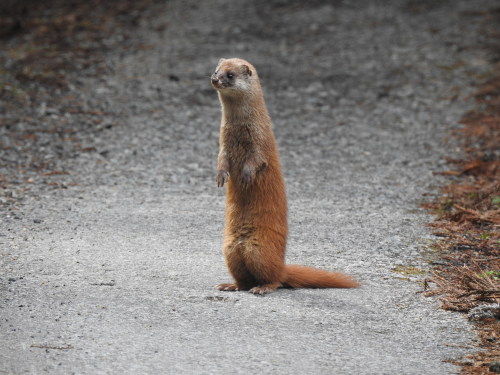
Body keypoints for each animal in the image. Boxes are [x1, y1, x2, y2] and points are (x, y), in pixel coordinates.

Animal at [211, 58, 360, 296]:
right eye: (217, 70)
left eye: (230, 75)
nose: (214, 79)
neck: (238, 132)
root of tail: (282, 265)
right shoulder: (223, 144)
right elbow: (221, 160)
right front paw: (220, 176)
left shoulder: (261, 141)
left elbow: (257, 160)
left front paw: (246, 175)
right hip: (230, 249)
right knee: (244, 280)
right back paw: (229, 285)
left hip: (259, 249)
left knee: (274, 279)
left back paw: (262, 288)